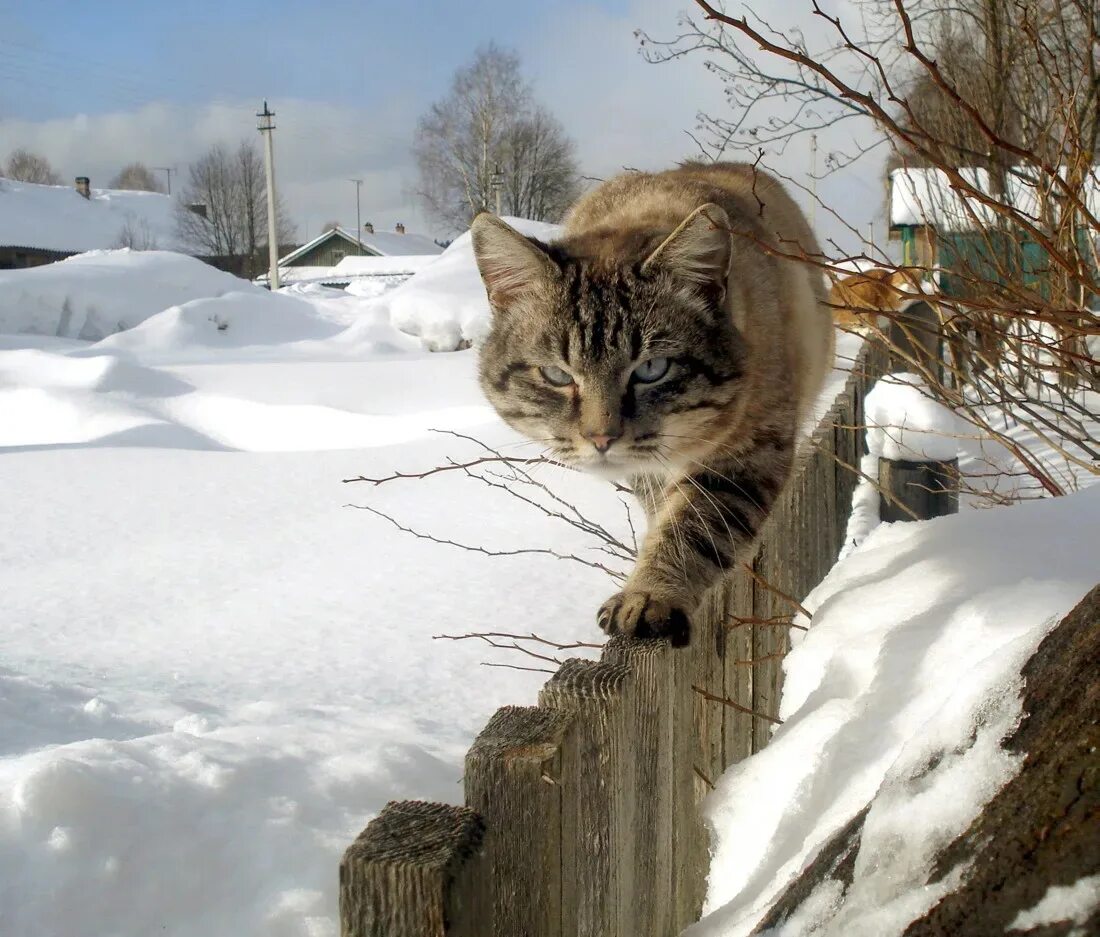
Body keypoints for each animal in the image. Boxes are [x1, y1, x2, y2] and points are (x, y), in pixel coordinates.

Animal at [468, 159, 827, 642]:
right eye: (557, 375)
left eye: (652, 370)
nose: (601, 438)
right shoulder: (649, 473)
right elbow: (665, 514)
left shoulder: (746, 453)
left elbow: (694, 528)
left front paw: (648, 597)